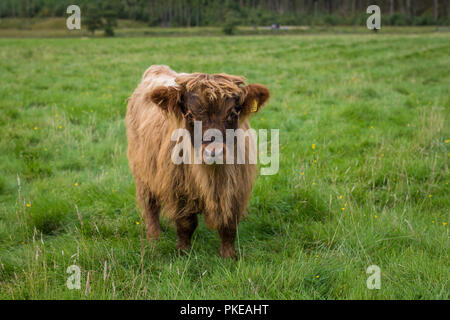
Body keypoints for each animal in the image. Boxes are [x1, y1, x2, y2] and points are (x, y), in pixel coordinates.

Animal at [125, 64, 268, 258]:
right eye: (191, 116)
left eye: (232, 114)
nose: (214, 151)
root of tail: (158, 68)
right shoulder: (178, 188)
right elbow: (186, 223)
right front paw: (183, 251)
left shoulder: (236, 188)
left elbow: (229, 225)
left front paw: (229, 255)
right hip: (143, 170)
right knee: (150, 204)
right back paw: (154, 236)